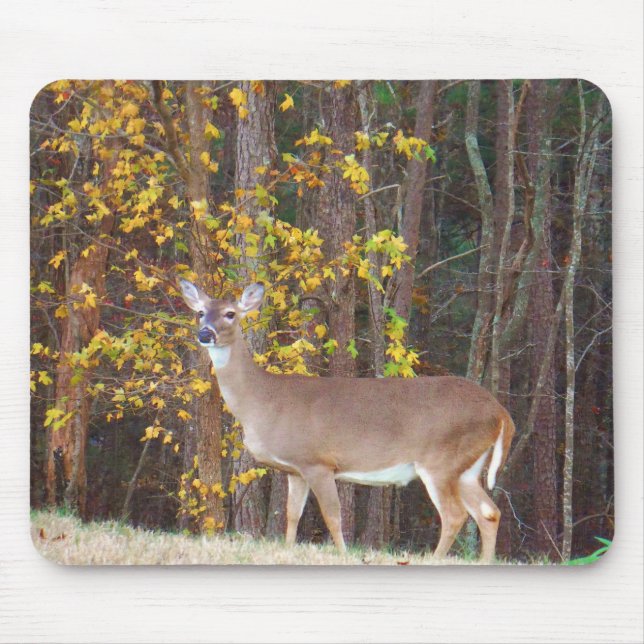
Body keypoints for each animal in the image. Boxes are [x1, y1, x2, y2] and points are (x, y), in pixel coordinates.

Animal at [179, 279, 515, 563]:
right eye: (200, 312)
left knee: (455, 514)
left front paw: (341, 554)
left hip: (441, 459)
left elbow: (333, 515)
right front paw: (288, 549)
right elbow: (291, 514)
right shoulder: (295, 468)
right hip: (467, 467)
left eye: (230, 313)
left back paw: (435, 559)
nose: (205, 334)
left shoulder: (318, 461)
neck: (263, 401)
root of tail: (501, 412)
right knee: (489, 512)